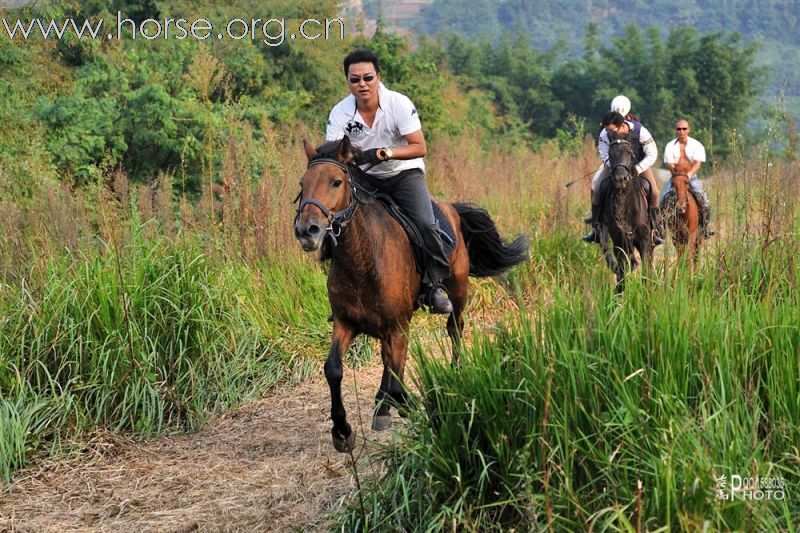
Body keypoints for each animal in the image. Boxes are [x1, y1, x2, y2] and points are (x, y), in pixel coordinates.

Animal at [290, 137, 528, 454]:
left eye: (336, 182)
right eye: (302, 184)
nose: (307, 230)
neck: (362, 259)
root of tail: (451, 209)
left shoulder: (398, 326)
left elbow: (396, 374)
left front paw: (409, 405)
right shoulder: (345, 322)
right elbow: (334, 369)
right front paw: (342, 431)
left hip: (458, 290)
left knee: (454, 329)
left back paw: (453, 373)